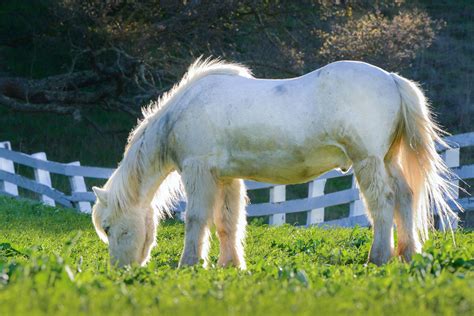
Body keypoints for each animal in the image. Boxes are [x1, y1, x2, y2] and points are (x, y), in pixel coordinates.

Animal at [90, 58, 458, 268]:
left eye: (108, 227)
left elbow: (196, 219)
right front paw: (230, 265)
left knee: (384, 203)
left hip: (367, 161)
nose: (119, 272)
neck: (183, 110)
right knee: (406, 197)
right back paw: (408, 255)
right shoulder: (225, 178)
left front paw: (190, 264)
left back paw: (378, 258)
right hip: (387, 160)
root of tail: (392, 79)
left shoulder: (199, 172)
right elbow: (227, 222)